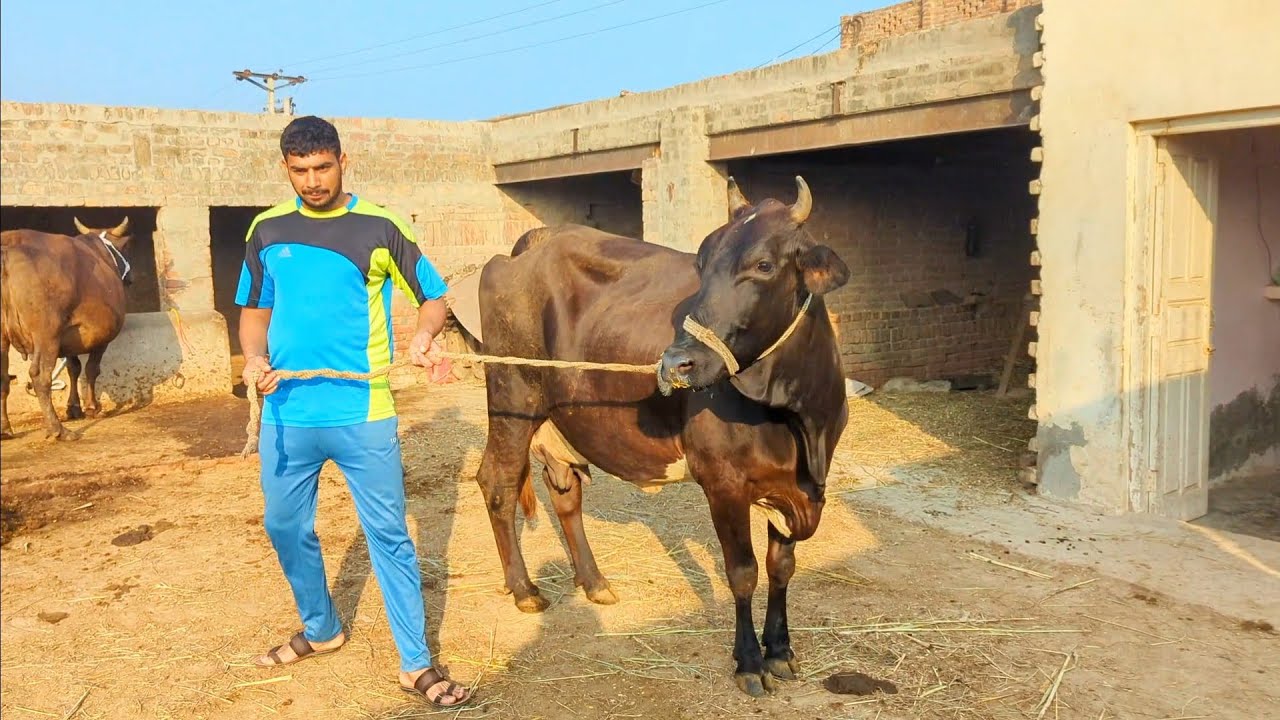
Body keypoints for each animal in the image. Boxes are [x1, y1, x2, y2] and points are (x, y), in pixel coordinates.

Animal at [1, 217, 134, 440]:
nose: (131, 278)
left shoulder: (70, 336)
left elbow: (74, 368)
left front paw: (74, 407)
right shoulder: (102, 338)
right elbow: (91, 369)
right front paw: (91, 406)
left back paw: (4, 429)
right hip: (47, 333)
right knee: (40, 377)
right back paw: (58, 430)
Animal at [460, 176, 850, 697]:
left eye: (764, 265)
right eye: (701, 264)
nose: (676, 363)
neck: (801, 423)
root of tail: (532, 243)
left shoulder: (797, 489)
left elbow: (781, 568)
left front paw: (781, 652)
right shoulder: (724, 484)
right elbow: (743, 573)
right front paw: (749, 661)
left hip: (562, 416)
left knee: (565, 493)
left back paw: (595, 582)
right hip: (512, 396)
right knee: (498, 483)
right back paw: (525, 590)